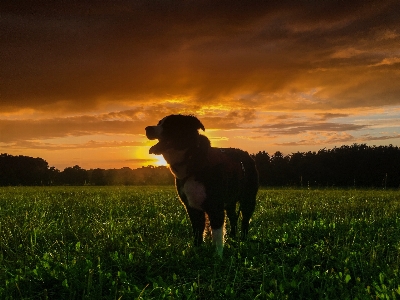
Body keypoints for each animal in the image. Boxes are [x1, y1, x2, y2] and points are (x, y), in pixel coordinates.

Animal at [145, 114, 258, 255]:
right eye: (159, 123)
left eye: (170, 124)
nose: (147, 129)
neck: (193, 160)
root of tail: (247, 156)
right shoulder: (192, 207)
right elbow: (197, 232)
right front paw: (196, 251)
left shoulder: (216, 207)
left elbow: (217, 235)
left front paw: (217, 256)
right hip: (230, 201)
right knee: (233, 218)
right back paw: (232, 238)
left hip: (248, 199)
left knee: (245, 220)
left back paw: (243, 239)